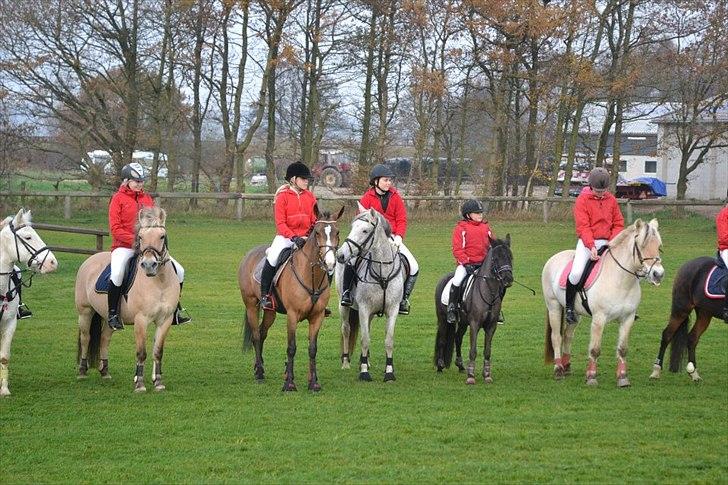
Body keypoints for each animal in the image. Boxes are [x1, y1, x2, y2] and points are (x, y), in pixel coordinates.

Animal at [237, 206, 342, 392]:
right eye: (317, 232)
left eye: (337, 232)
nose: (329, 263)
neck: (311, 277)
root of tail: (249, 254)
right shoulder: (292, 315)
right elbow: (291, 347)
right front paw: (289, 383)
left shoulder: (317, 316)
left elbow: (312, 348)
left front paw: (313, 383)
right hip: (251, 305)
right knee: (256, 336)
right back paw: (259, 373)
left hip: (270, 311)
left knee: (262, 333)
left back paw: (259, 367)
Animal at [336, 206, 404, 380]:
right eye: (352, 227)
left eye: (365, 230)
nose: (340, 255)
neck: (382, 274)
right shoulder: (364, 309)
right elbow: (365, 339)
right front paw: (364, 373)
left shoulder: (392, 310)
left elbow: (389, 340)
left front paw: (389, 372)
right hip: (343, 306)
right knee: (346, 329)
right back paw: (346, 362)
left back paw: (364, 360)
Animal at [436, 236, 516, 384]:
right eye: (495, 258)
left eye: (510, 257)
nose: (508, 279)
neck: (488, 292)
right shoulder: (474, 324)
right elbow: (473, 351)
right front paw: (471, 376)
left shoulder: (491, 326)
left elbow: (487, 351)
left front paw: (487, 375)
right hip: (443, 319)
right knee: (442, 340)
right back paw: (440, 366)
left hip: (462, 322)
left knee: (458, 338)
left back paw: (461, 366)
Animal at [540, 218, 664, 386]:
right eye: (641, 246)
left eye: (659, 246)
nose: (658, 274)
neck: (620, 280)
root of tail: (554, 257)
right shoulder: (599, 318)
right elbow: (595, 349)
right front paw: (591, 377)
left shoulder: (628, 318)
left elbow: (623, 349)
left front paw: (623, 378)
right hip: (554, 307)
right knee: (556, 337)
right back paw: (558, 369)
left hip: (574, 314)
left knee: (568, 335)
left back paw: (566, 366)